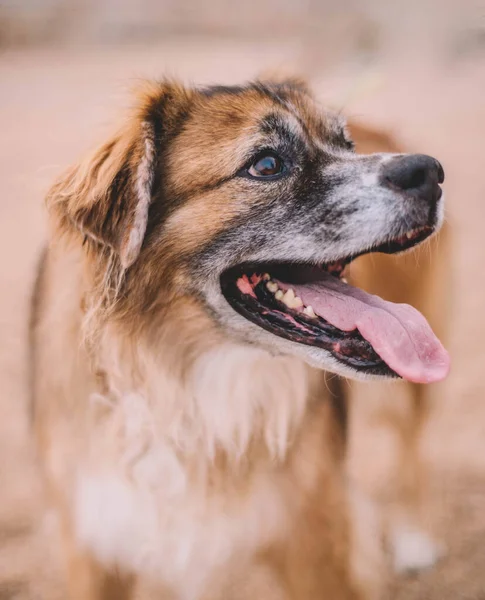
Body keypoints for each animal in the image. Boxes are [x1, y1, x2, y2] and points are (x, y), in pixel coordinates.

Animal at [29, 77, 446, 596]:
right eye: (267, 165)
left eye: (347, 147)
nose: (429, 171)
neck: (183, 381)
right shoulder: (93, 544)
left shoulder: (317, 535)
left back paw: (414, 536)